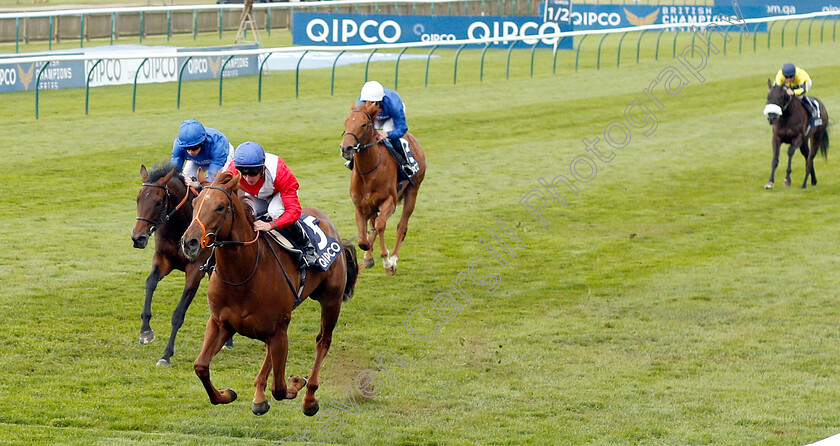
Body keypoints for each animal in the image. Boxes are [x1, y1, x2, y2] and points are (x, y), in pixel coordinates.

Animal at [130, 164, 226, 366]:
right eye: (138, 199)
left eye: (158, 202)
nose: (137, 238)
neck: (179, 227)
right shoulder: (163, 259)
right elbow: (150, 282)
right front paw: (145, 332)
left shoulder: (195, 270)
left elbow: (178, 314)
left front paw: (166, 355)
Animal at [180, 172, 358, 418]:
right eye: (195, 203)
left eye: (220, 207)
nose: (189, 242)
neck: (243, 274)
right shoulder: (220, 323)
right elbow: (201, 366)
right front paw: (226, 394)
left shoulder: (279, 328)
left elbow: (280, 388)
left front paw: (296, 382)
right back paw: (259, 396)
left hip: (331, 300)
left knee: (323, 341)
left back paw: (309, 398)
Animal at [338, 101, 426, 276]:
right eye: (346, 122)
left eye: (364, 124)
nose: (346, 148)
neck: (369, 171)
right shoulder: (360, 205)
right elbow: (363, 239)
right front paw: (368, 255)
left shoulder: (389, 201)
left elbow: (379, 226)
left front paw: (387, 262)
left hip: (413, 191)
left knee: (401, 226)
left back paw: (394, 258)